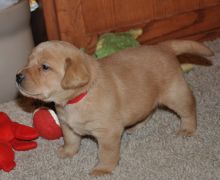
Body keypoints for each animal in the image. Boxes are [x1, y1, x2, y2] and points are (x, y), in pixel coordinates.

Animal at [16, 39, 212, 176]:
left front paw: (103, 169)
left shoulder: (108, 133)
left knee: (189, 108)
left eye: (44, 67)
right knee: (149, 110)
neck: (81, 96)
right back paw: (135, 126)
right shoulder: (67, 125)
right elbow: (71, 140)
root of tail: (164, 47)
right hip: (145, 98)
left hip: (175, 95)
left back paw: (187, 128)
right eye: (28, 61)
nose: (17, 76)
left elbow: (106, 153)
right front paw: (67, 152)